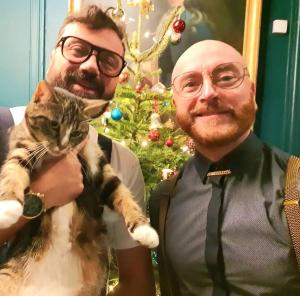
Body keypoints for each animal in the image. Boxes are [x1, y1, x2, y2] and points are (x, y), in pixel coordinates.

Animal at [0, 80, 159, 294]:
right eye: (54, 124)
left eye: (75, 132)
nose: (62, 145)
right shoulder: (23, 147)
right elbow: (13, 170)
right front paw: (8, 206)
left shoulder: (98, 165)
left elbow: (121, 193)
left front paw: (144, 230)